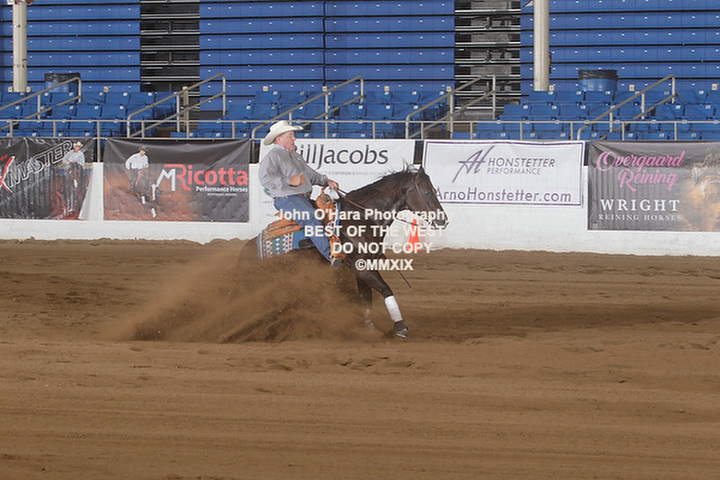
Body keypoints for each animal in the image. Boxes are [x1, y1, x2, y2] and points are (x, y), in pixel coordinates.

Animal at [241, 166, 448, 338]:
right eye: (427, 191)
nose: (443, 220)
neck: (363, 218)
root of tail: (245, 253)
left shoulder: (363, 268)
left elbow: (366, 298)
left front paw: (369, 328)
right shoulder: (361, 267)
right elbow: (385, 289)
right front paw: (400, 326)